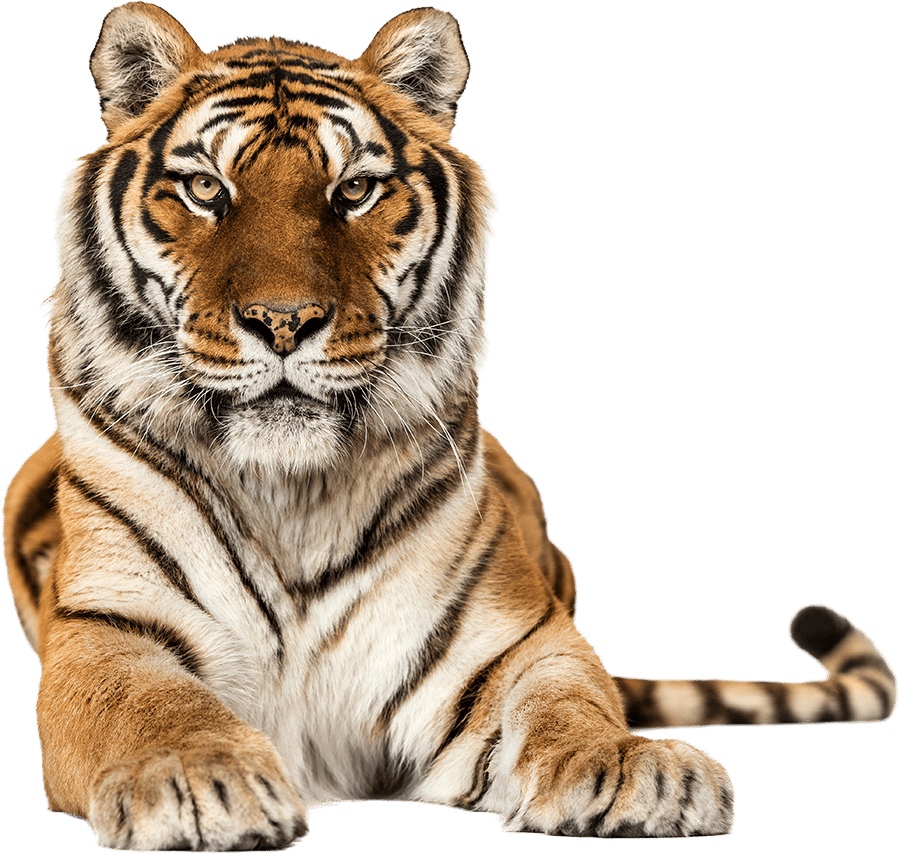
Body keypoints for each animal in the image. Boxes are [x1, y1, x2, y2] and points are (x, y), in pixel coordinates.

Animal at [2, 2, 896, 850]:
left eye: (354, 191)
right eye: (205, 190)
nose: (284, 321)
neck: (290, 494)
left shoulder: (512, 638)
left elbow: (571, 699)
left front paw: (631, 769)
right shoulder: (108, 629)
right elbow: (145, 703)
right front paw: (195, 779)